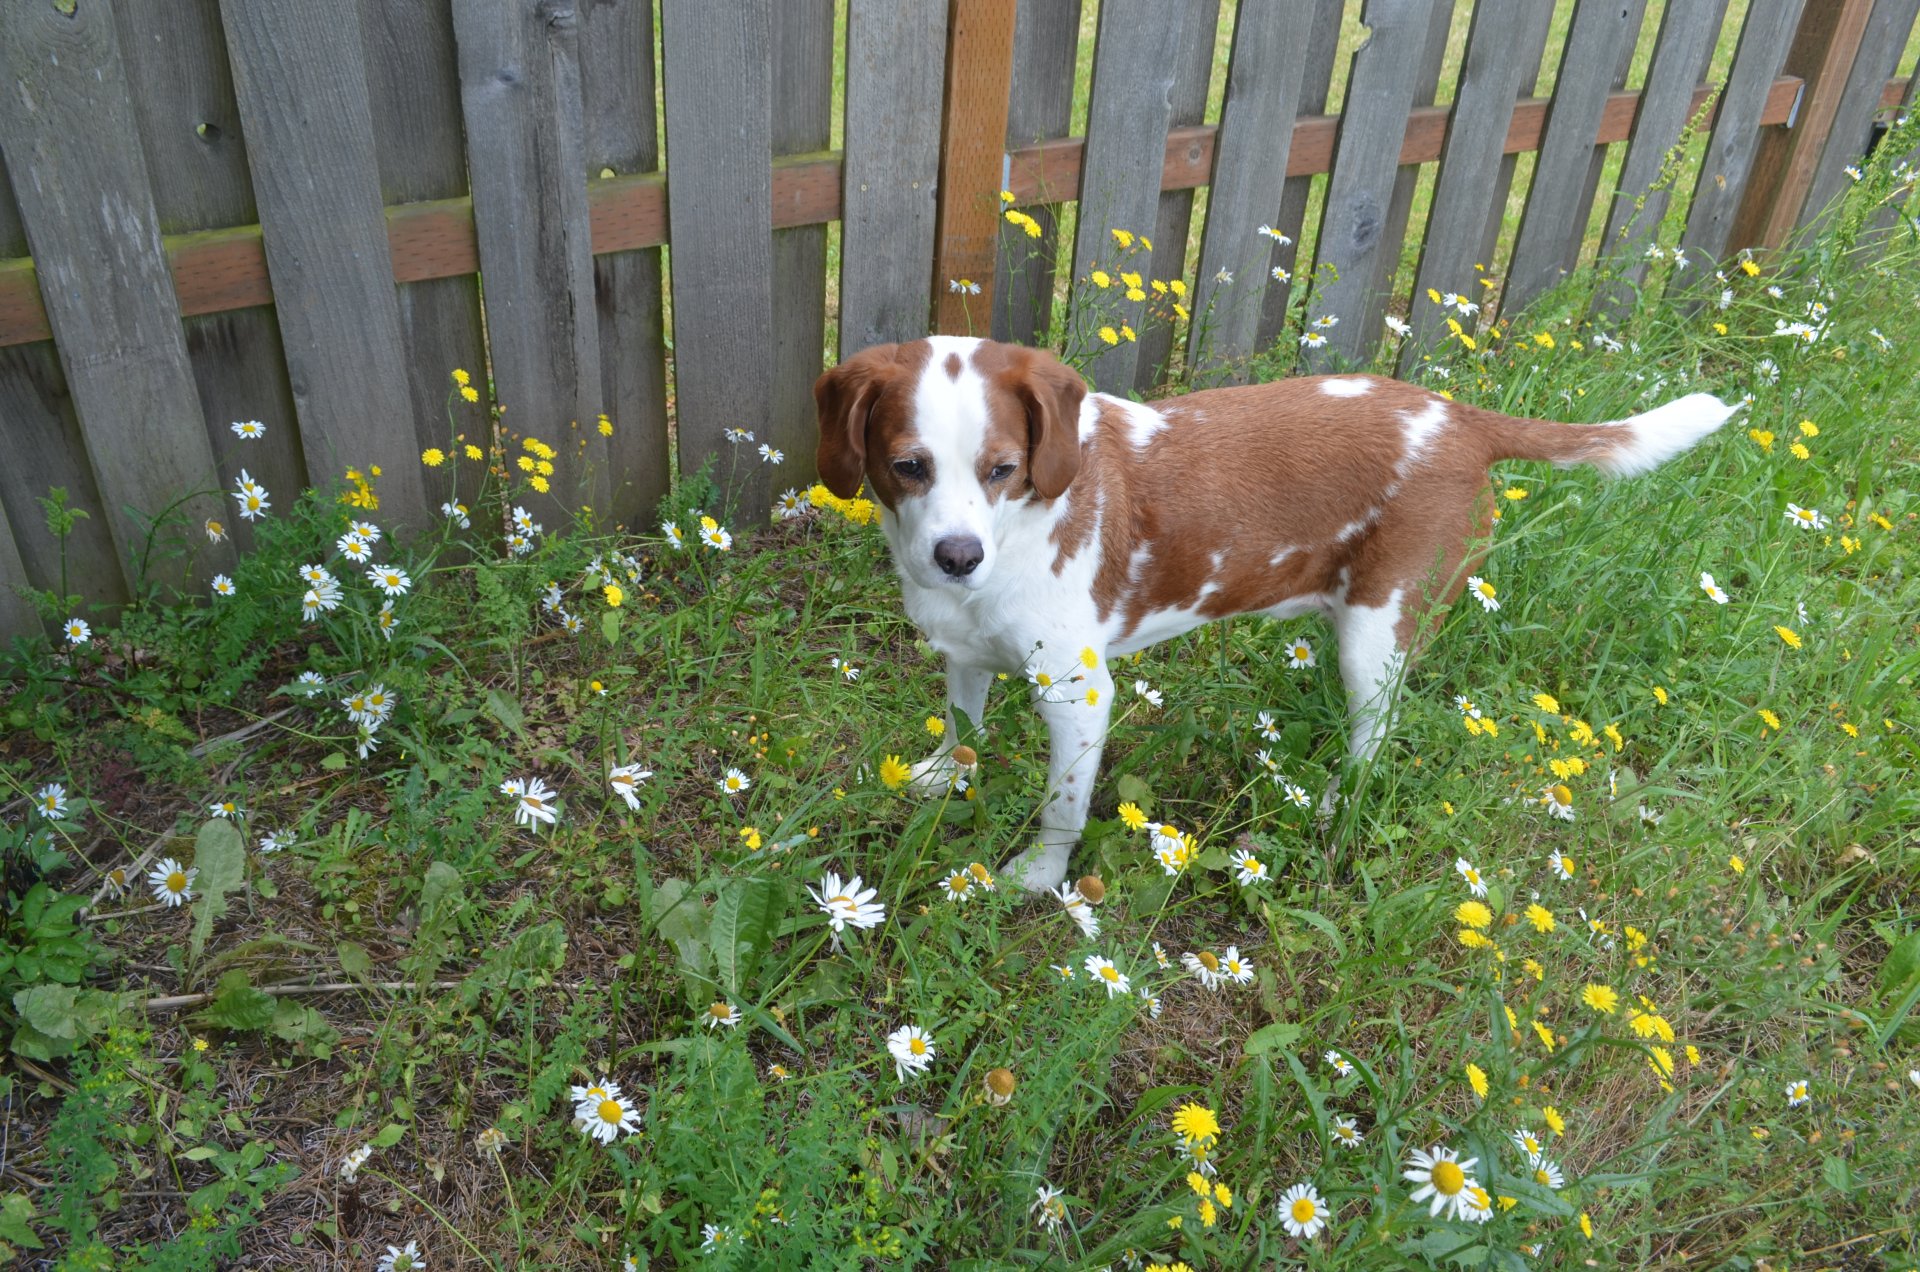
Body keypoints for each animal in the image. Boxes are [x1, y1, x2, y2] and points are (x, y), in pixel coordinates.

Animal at [810, 338, 1743, 895]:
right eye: (908, 466)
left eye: (1003, 468)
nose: (956, 556)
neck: (1012, 536)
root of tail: (1462, 420)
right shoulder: (964, 651)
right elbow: (962, 727)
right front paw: (942, 777)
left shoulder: (1078, 694)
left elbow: (1062, 806)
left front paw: (1037, 879)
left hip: (1376, 632)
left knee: (1377, 732)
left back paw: (1332, 806)